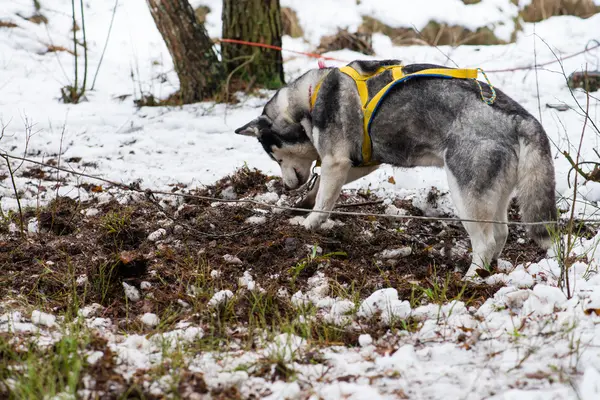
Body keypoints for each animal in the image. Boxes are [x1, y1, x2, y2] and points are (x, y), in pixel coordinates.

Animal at [236, 60, 556, 278]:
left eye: (275, 157)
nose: (287, 186)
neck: (312, 97)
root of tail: (520, 117)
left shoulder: (337, 161)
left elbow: (324, 204)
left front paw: (308, 223)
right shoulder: (357, 162)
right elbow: (320, 191)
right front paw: (301, 203)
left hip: (465, 194)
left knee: (486, 241)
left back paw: (470, 279)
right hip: (494, 194)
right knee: (501, 233)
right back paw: (488, 271)